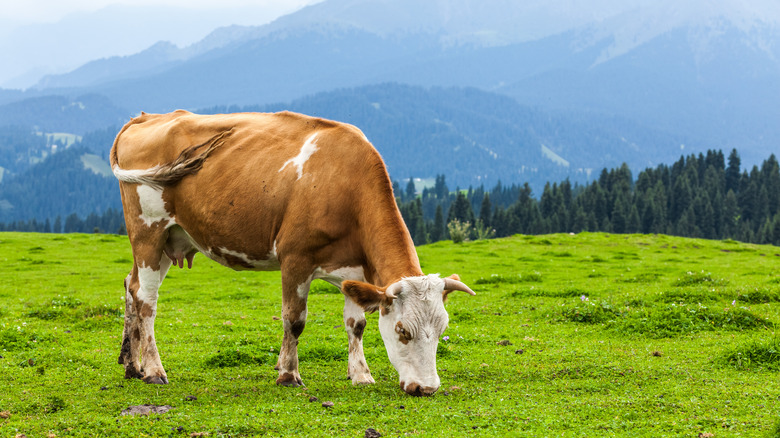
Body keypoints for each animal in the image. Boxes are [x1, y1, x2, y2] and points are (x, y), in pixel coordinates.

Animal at [109, 110, 476, 396]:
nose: (426, 388)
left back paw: (131, 365)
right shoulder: (295, 258)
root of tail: (145, 117)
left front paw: (360, 374)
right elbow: (294, 320)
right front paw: (288, 374)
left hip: (169, 240)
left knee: (131, 286)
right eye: (402, 331)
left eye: (442, 330)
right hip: (148, 232)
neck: (346, 185)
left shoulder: (355, 271)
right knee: (147, 301)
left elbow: (356, 324)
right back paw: (154, 370)